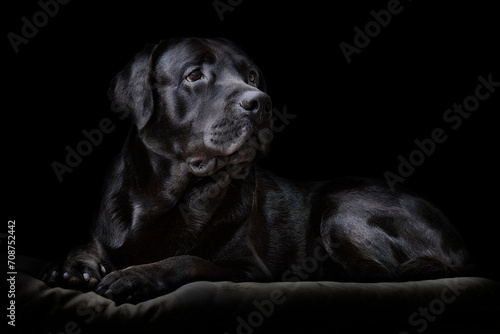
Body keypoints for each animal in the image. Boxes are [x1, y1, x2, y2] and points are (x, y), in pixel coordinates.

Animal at [42, 37, 472, 304]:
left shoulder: (248, 269)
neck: (169, 199)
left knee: (378, 274)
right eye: (194, 75)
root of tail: (458, 243)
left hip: (341, 208)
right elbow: (86, 245)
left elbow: (189, 261)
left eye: (251, 77)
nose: (261, 102)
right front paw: (73, 268)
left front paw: (134, 277)